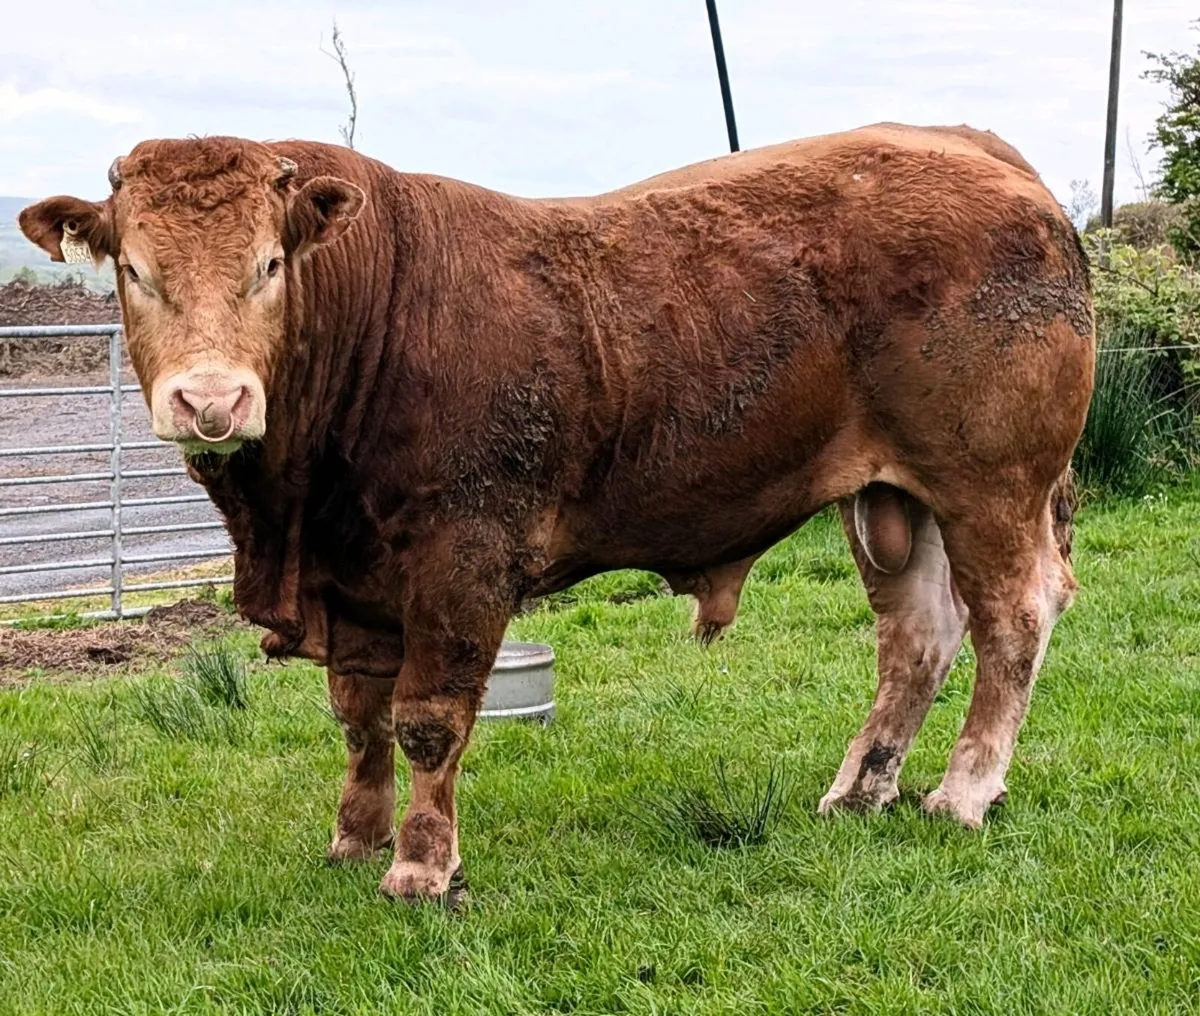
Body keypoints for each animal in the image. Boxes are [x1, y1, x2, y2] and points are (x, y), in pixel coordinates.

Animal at [19, 123, 1094, 905]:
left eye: (269, 266)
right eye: (133, 271)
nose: (212, 400)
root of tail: (977, 150)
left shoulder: (461, 558)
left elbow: (426, 720)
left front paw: (421, 867)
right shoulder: (353, 576)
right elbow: (360, 722)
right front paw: (353, 839)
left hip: (991, 482)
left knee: (1012, 620)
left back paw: (962, 793)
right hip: (894, 498)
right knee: (918, 636)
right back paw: (859, 788)